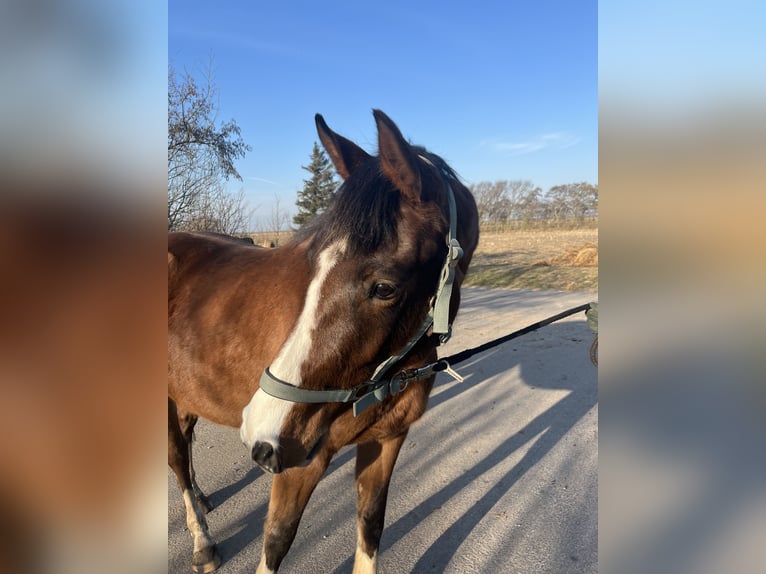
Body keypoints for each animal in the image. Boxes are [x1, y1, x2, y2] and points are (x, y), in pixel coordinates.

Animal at [168, 109, 479, 573]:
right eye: (311, 266)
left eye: (384, 287)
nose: (260, 433)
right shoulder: (299, 460)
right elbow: (276, 541)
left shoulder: (387, 440)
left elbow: (370, 524)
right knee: (176, 459)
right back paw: (202, 541)